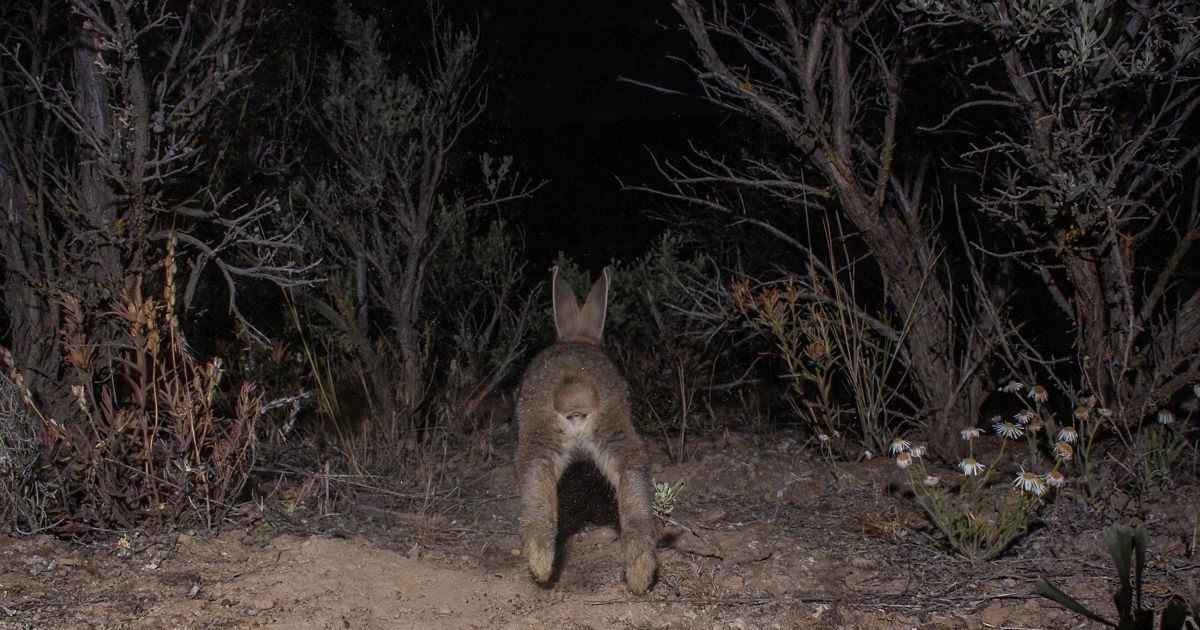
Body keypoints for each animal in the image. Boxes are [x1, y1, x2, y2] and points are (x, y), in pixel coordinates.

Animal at [514, 266, 658, 594]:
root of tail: (576, 389)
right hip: (613, 436)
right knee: (633, 493)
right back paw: (639, 576)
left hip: (539, 439)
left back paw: (540, 567)